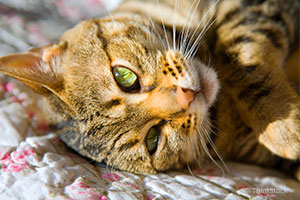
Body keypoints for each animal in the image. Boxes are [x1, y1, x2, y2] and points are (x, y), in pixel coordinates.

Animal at [0, 0, 300, 178]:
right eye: (153, 139)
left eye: (124, 77)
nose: (187, 96)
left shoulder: (247, 10)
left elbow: (242, 58)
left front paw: (284, 126)